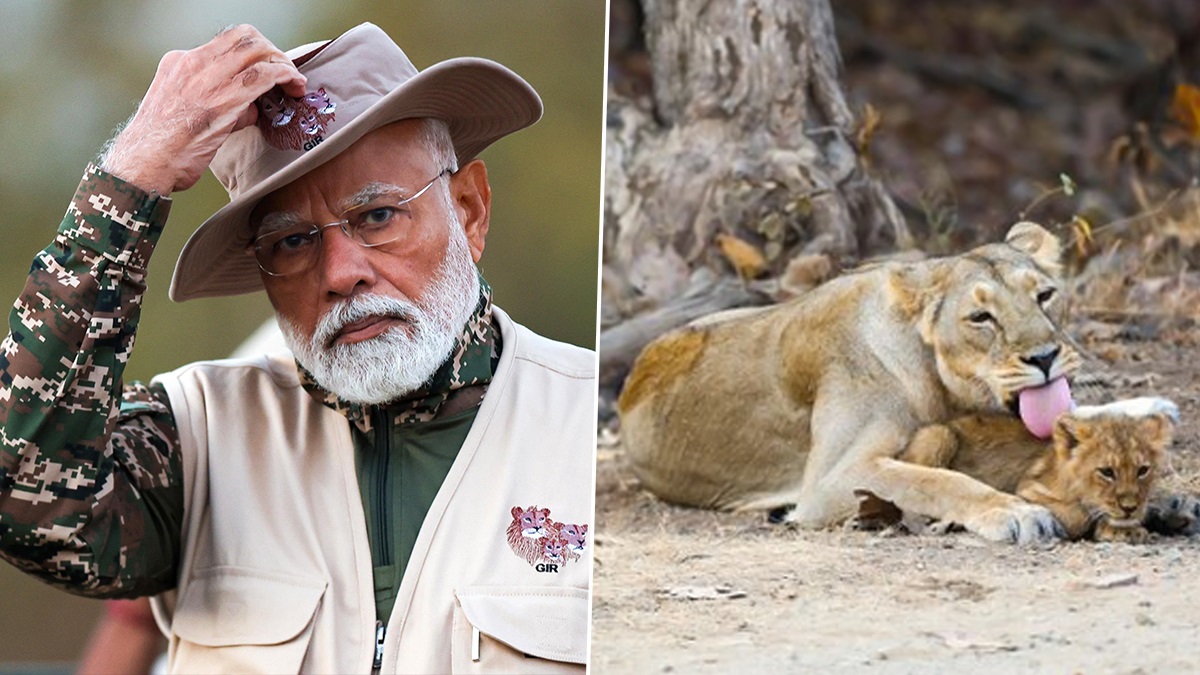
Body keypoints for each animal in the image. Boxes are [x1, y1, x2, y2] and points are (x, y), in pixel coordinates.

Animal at [618, 222, 1082, 544]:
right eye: (980, 317)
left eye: (1045, 296)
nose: (1045, 358)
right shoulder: (828, 483)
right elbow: (932, 481)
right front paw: (1016, 512)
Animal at [898, 398, 1178, 543]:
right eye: (1106, 472)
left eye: (1143, 470)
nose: (1130, 506)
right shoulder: (1026, 491)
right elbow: (1076, 515)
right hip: (938, 435)